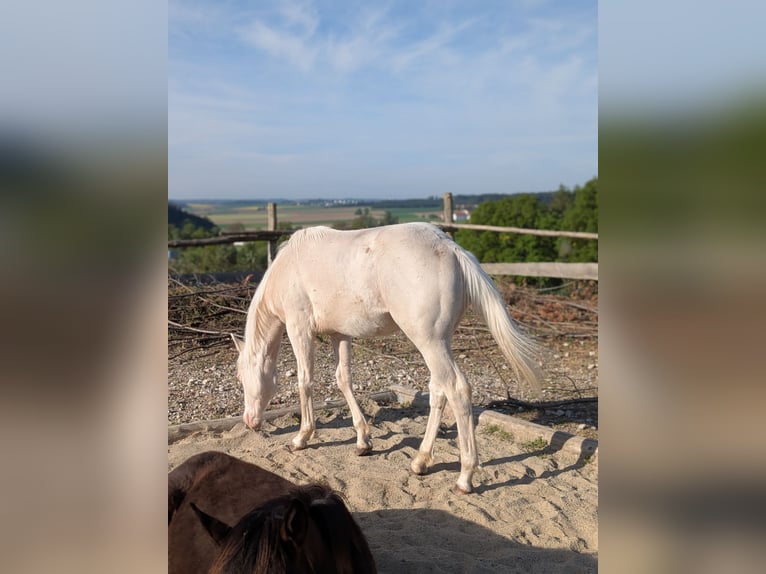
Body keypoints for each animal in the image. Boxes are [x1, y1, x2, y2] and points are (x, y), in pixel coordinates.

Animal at [231, 222, 541, 494]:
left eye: (243, 378)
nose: (249, 421)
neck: (287, 267)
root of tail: (450, 248)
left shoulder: (300, 329)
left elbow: (305, 382)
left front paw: (301, 437)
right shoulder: (339, 334)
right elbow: (343, 380)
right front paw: (362, 440)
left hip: (429, 341)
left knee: (457, 389)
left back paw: (465, 477)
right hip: (440, 341)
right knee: (438, 391)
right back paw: (420, 461)